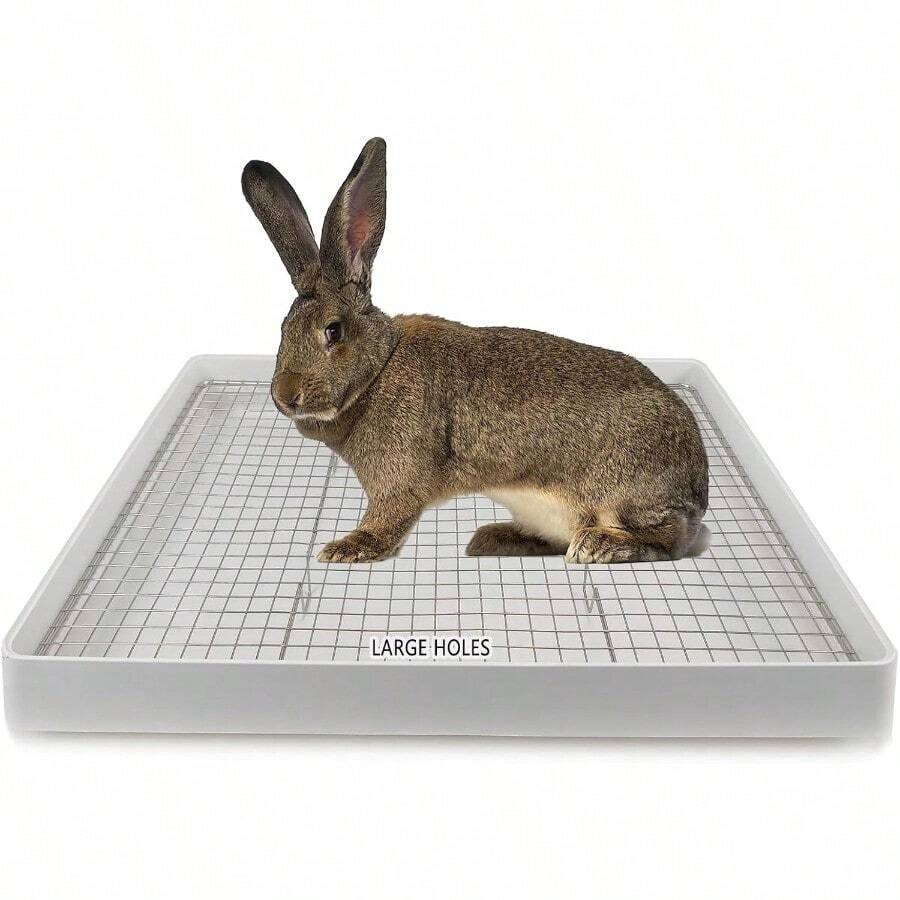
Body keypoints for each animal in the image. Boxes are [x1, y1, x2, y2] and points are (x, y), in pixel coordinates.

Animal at [241, 138, 709, 564]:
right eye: (282, 329)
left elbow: (388, 517)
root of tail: (698, 485)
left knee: (671, 540)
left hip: (625, 494)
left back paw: (600, 545)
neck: (380, 368)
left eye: (333, 331)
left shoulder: (399, 478)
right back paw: (495, 538)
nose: (285, 395)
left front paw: (347, 548)